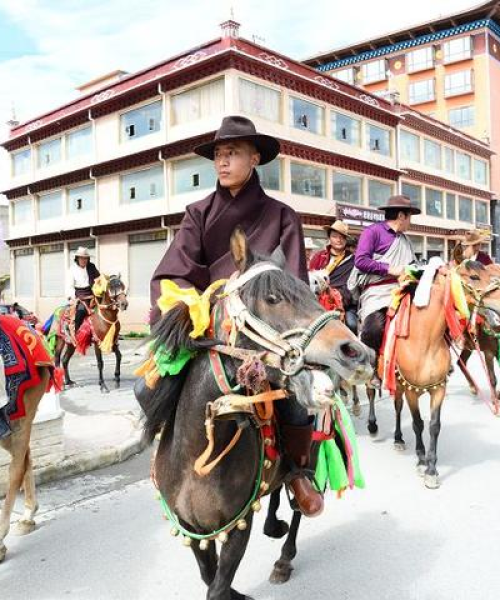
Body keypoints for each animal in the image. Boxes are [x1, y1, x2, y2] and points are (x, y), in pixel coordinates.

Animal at [137, 231, 372, 600]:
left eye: (311, 293)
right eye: (272, 298)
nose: (356, 352)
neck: (199, 454)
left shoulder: (237, 526)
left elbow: (218, 584)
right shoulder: (192, 529)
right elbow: (209, 576)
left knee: (297, 505)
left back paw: (284, 558)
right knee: (276, 489)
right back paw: (273, 522)